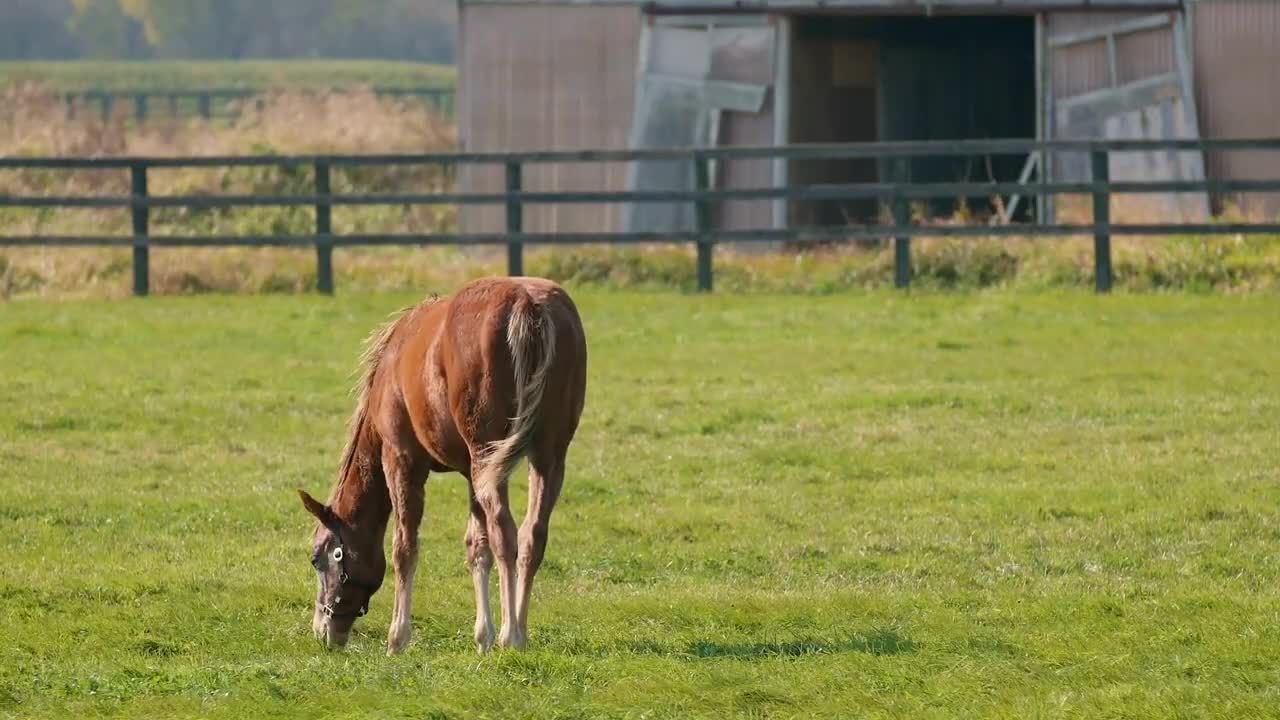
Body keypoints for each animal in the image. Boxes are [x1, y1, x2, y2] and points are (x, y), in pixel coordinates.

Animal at [296, 274, 586, 650]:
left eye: (319, 558)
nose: (324, 630)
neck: (391, 365)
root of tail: (527, 303)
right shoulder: (470, 473)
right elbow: (476, 547)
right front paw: (482, 636)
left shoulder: (401, 461)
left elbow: (404, 547)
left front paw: (398, 637)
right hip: (545, 456)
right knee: (531, 535)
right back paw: (519, 630)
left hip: (490, 456)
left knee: (505, 532)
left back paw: (511, 634)